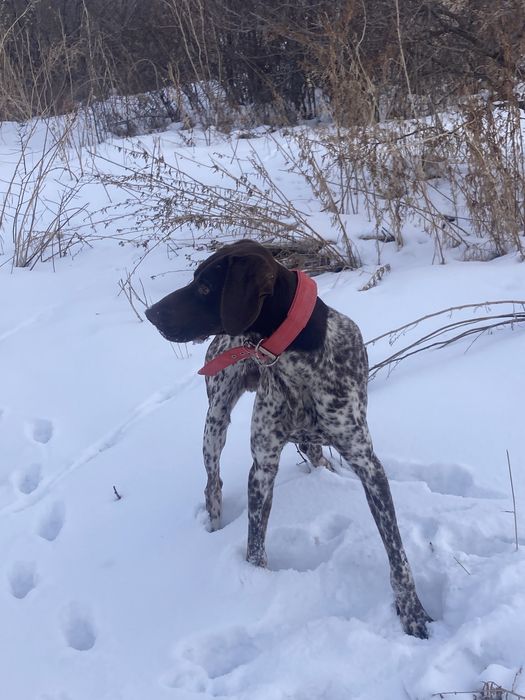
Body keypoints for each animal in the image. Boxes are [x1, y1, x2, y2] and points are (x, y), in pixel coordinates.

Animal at [145, 239, 431, 638]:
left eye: (205, 287)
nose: (150, 313)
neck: (299, 358)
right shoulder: (262, 466)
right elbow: (254, 545)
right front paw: (256, 586)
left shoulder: (368, 465)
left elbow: (397, 552)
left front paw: (412, 612)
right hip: (215, 421)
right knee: (212, 484)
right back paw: (214, 523)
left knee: (316, 457)